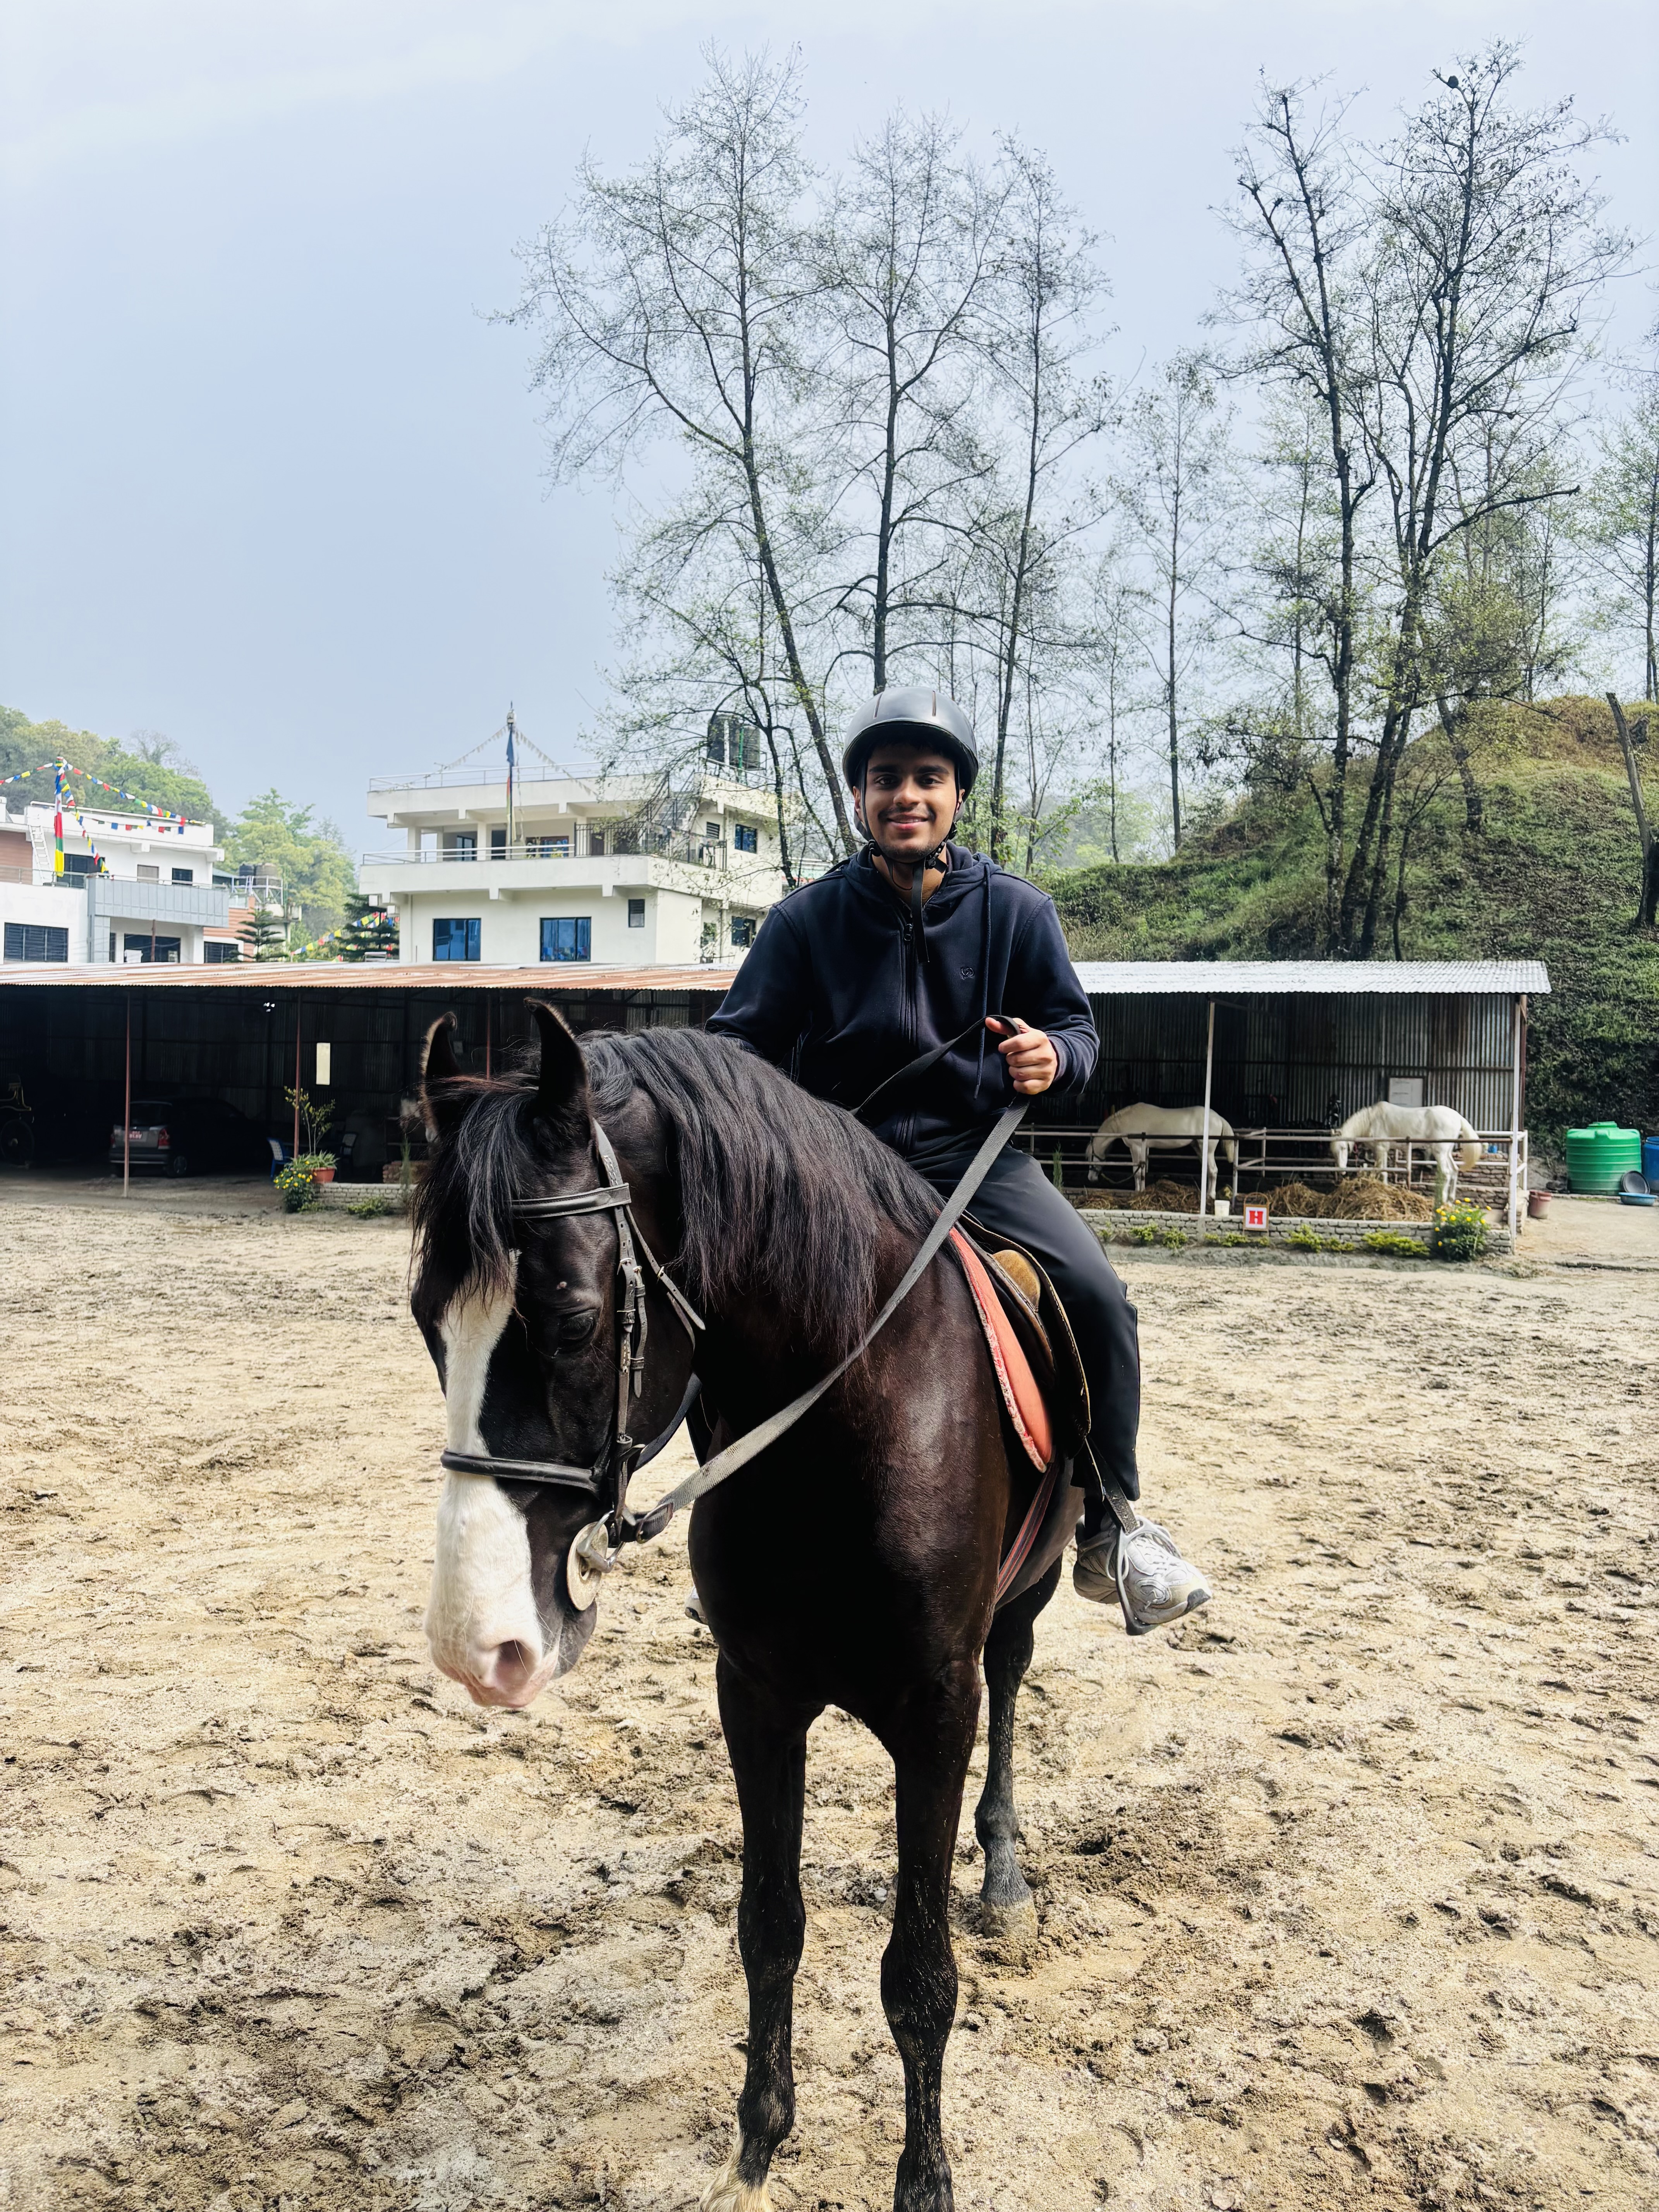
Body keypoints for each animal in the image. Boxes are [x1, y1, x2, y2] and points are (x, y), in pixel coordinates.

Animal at [412, 1005, 1080, 2212]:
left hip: (1027, 1596)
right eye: (424, 1320)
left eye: (571, 1318)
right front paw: (760, 2139)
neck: (846, 1427)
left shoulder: (936, 1707)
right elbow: (770, 1927)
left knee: (1014, 1678)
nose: (476, 1649)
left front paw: (924, 2180)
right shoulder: (757, 1695)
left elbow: (920, 1976)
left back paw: (1003, 1869)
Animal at [1085, 1101, 1237, 1193]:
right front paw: (1140, 1191)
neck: (1126, 1120)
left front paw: (1138, 1192)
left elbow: (1137, 1171)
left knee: (1213, 1171)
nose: (1091, 1178)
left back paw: (1211, 1196)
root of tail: (1218, 1118)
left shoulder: (1136, 1147)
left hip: (1208, 1150)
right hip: (1199, 1148)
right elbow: (1141, 1169)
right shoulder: (1141, 1149)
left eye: (1090, 1157)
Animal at [1331, 1103, 1482, 1196]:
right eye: (1333, 1153)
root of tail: (1458, 1117)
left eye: (1343, 1148)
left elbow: (1382, 1171)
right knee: (1455, 1171)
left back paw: (1443, 1202)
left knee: (1447, 1173)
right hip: (1447, 1153)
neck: (1371, 1121)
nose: (1342, 1171)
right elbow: (1381, 1171)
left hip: (1440, 1152)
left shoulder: (1381, 1149)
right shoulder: (1380, 1151)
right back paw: (1450, 1201)